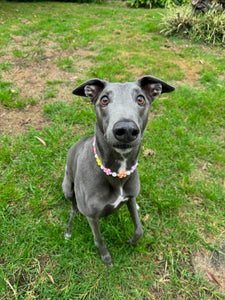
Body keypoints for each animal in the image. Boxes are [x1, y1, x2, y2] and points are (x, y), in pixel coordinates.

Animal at [62, 76, 175, 266]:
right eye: (104, 100)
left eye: (140, 99)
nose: (126, 130)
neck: (117, 173)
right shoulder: (92, 217)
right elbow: (98, 239)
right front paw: (106, 257)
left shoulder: (130, 196)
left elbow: (139, 229)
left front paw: (131, 242)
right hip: (68, 188)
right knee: (73, 207)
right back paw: (69, 228)